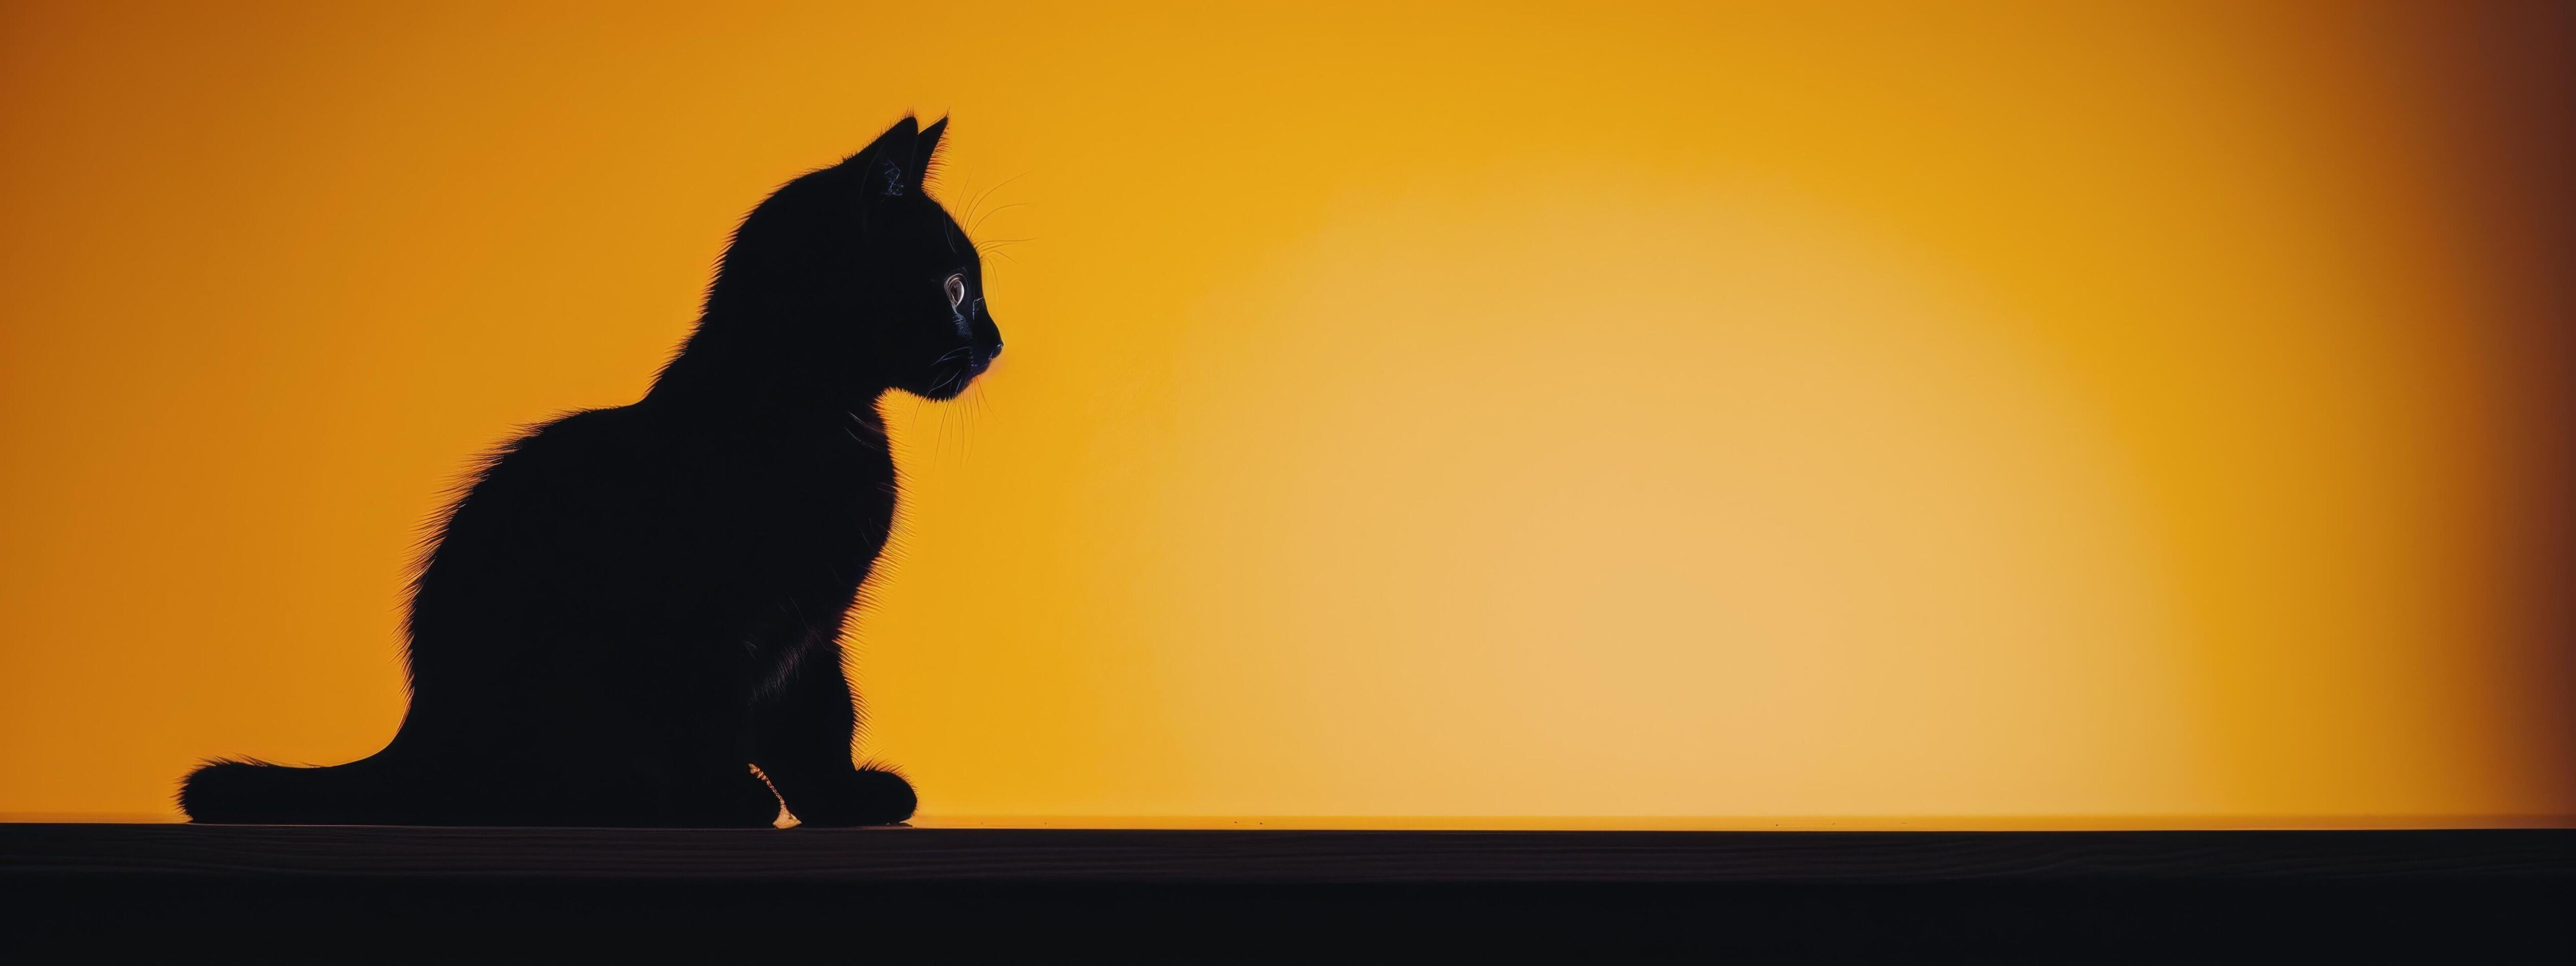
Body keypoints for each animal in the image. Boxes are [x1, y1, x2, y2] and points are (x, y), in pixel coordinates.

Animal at [176, 117, 999, 829]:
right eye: (956, 286)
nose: (996, 342)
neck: (817, 414)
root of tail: (412, 742)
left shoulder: (815, 626)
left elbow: (821, 717)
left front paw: (838, 800)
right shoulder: (706, 620)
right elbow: (711, 714)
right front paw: (727, 798)